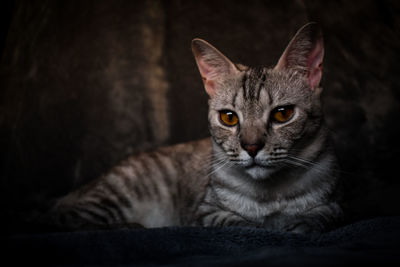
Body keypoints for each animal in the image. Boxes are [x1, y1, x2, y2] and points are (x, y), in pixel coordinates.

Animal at [46, 23, 340, 234]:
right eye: (229, 118)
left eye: (283, 114)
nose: (251, 146)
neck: (270, 195)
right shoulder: (205, 213)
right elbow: (238, 223)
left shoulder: (334, 204)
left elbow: (316, 218)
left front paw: (296, 224)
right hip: (118, 193)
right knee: (64, 218)